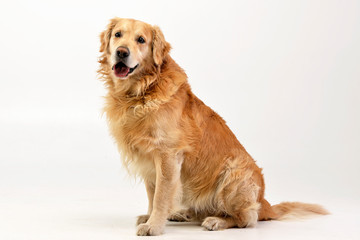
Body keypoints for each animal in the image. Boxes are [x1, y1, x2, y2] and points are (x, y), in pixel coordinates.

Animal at [98, 17, 330, 235]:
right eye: (118, 34)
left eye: (141, 40)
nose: (121, 52)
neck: (142, 90)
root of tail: (266, 203)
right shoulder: (148, 160)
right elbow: (152, 193)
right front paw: (150, 217)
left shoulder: (168, 155)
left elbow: (161, 197)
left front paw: (153, 226)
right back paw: (182, 214)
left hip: (234, 174)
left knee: (247, 218)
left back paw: (217, 221)